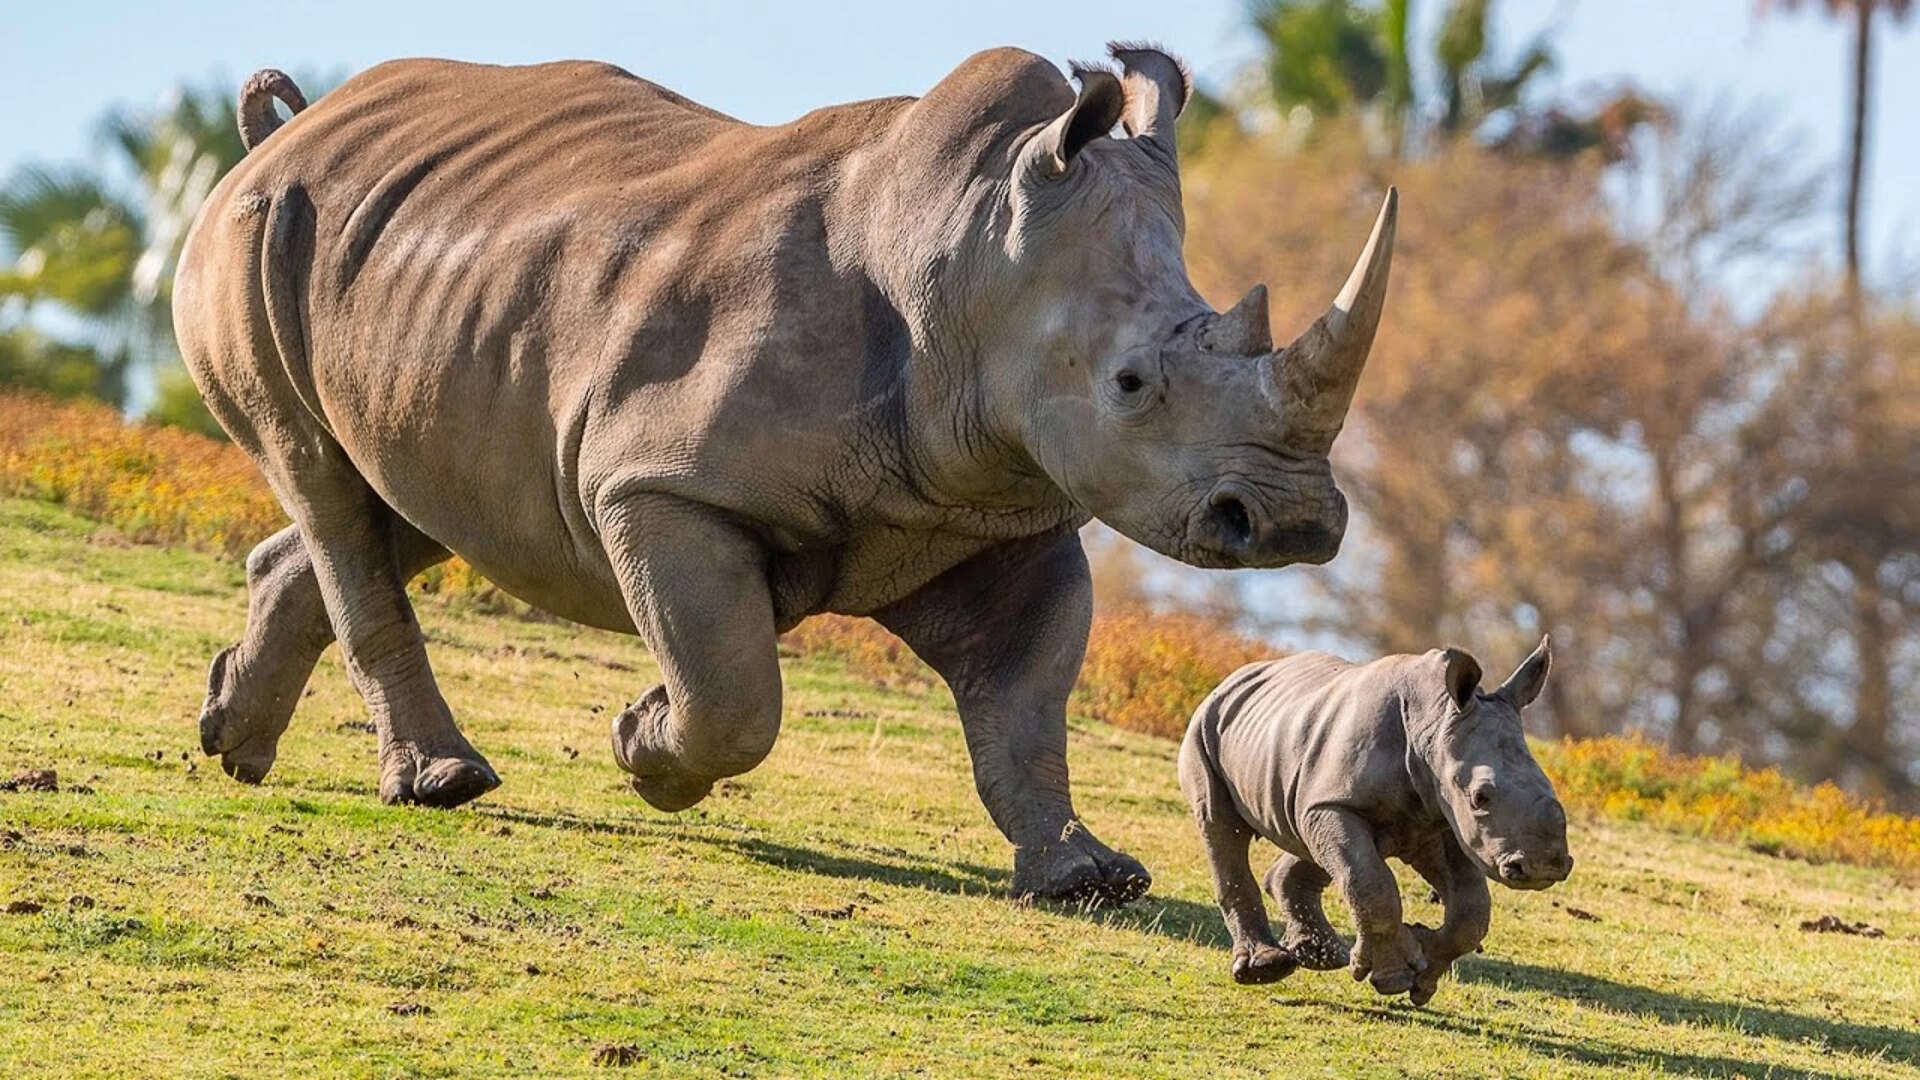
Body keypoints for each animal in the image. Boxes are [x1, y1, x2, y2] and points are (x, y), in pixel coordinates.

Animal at [174, 44, 1396, 905]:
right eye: (1132, 384)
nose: (1291, 522)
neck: (967, 255)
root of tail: (283, 136)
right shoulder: (660, 484)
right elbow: (734, 695)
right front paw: (643, 745)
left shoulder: (996, 509)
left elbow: (1026, 704)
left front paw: (1088, 878)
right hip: (253, 233)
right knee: (323, 479)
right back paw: (442, 783)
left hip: (428, 277)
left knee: (417, 493)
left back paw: (233, 741)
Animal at [1178, 639, 1570, 1002]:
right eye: (1479, 798)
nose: (1543, 867)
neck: (1434, 721)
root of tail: (1235, 676)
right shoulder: (1340, 803)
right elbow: (1371, 885)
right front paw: (1394, 976)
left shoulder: (1440, 818)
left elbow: (1471, 909)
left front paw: (1423, 975)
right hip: (1205, 727)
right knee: (1221, 825)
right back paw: (1265, 968)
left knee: (1313, 841)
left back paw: (1322, 956)